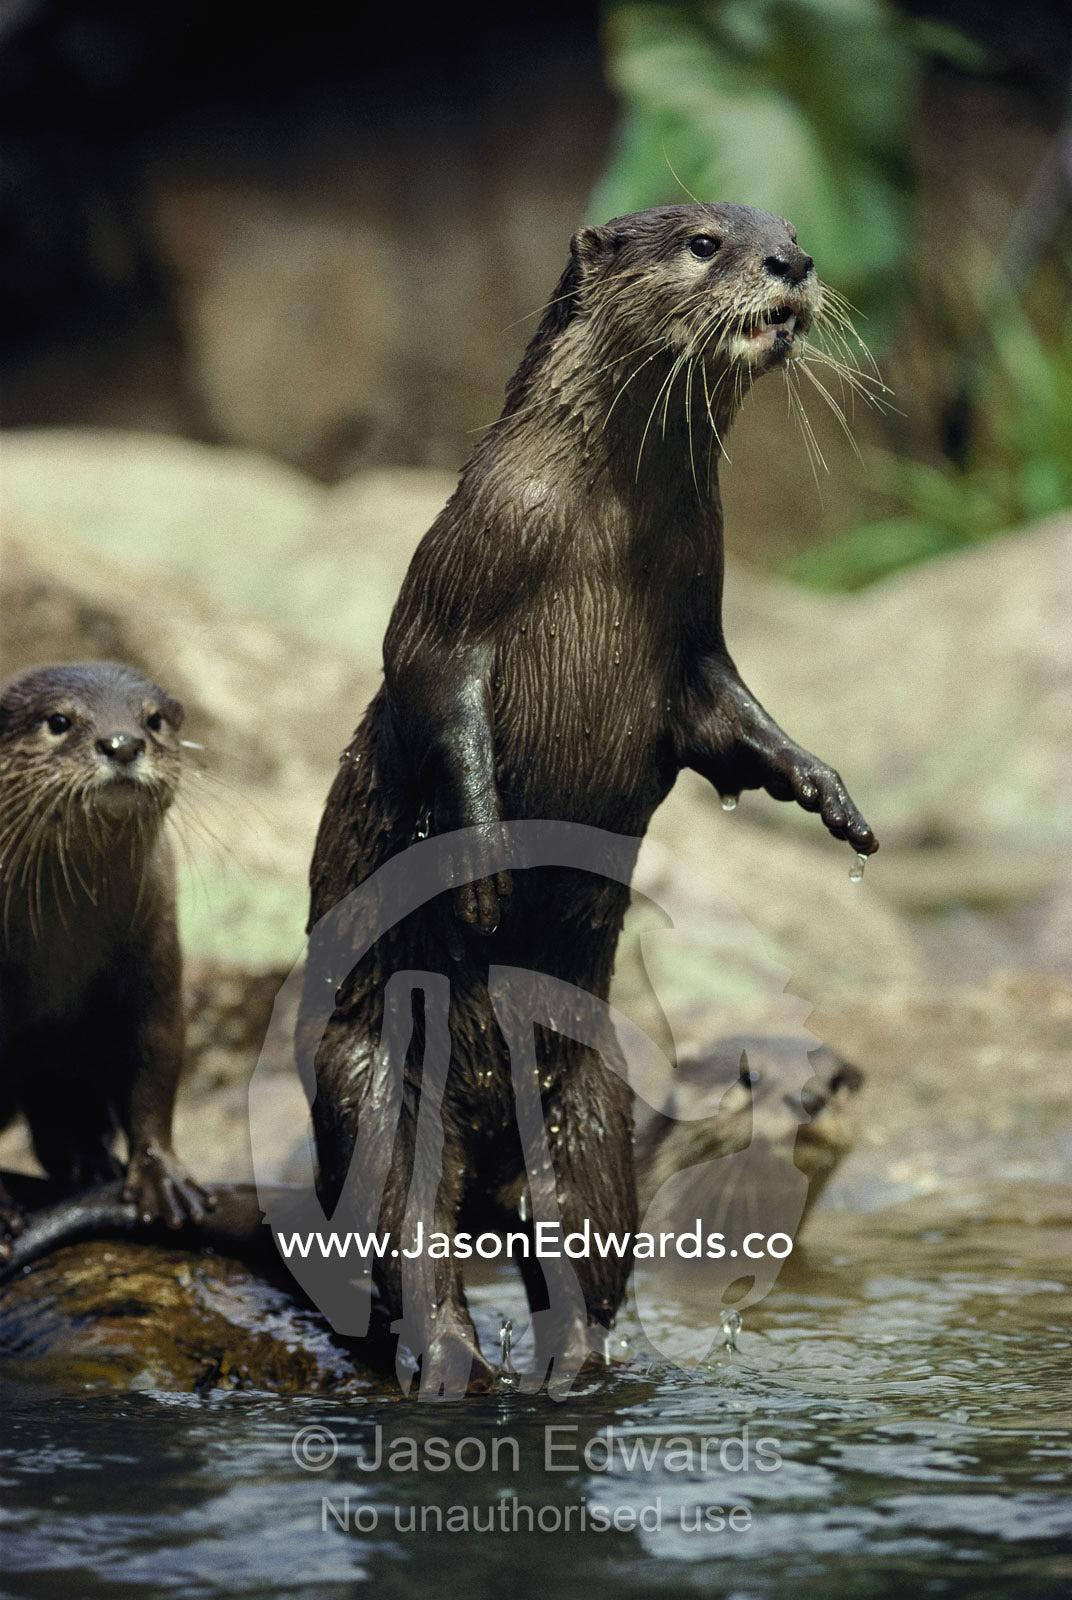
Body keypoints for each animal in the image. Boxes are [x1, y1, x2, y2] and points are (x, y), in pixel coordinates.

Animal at [0, 661, 209, 1258]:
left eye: (153, 720)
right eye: (59, 721)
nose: (122, 744)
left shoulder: (156, 956)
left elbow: (156, 1062)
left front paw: (162, 1177)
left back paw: (90, 1164)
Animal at [302, 203, 878, 1393]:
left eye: (788, 228)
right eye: (704, 241)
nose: (791, 265)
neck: (596, 534)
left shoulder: (696, 635)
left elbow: (737, 723)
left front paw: (828, 791)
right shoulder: (454, 588)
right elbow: (444, 712)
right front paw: (483, 873)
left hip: (593, 1110)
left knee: (579, 1248)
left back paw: (569, 1369)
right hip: (374, 1077)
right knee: (407, 1230)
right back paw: (451, 1367)